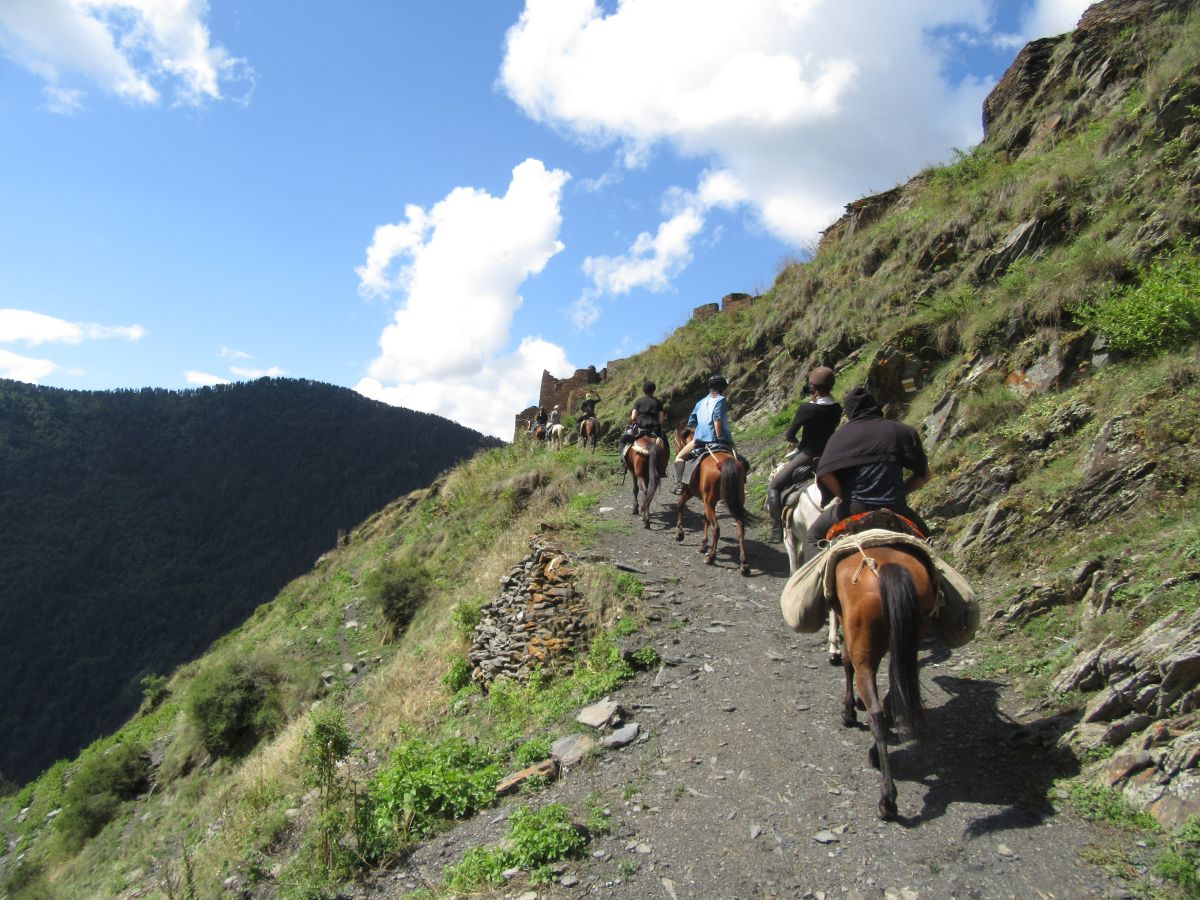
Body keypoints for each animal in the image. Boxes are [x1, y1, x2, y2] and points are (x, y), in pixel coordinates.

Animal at [676, 446, 748, 578]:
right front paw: (703, 544)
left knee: (716, 529)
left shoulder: (690, 492)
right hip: (733, 503)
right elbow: (705, 519)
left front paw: (680, 534)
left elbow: (680, 506)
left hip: (708, 502)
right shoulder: (706, 501)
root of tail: (722, 463)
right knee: (740, 529)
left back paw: (710, 558)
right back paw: (744, 565)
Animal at [835, 547, 936, 820]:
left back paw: (887, 799)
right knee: (895, 692)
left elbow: (846, 663)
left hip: (864, 642)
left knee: (877, 713)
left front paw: (849, 711)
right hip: (908, 639)